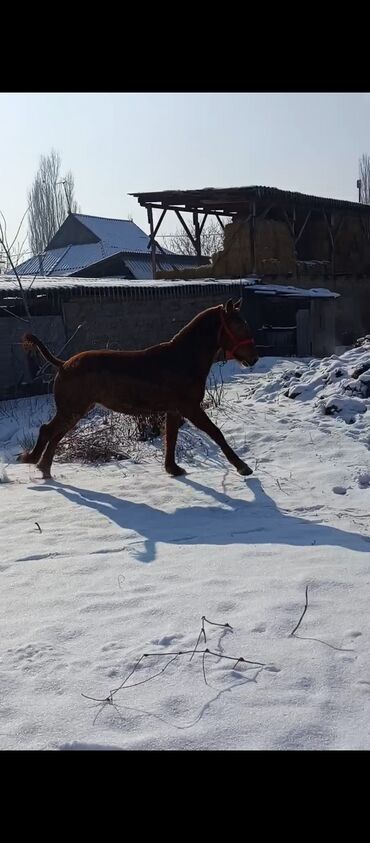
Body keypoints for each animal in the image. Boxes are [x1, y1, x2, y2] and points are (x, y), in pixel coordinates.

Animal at [20, 300, 258, 478]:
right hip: (72, 410)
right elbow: (216, 433)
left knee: (55, 435)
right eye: (238, 326)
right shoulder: (190, 408)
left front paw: (172, 468)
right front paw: (242, 466)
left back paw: (44, 467)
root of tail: (63, 364)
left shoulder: (174, 411)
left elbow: (171, 438)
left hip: (76, 411)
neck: (184, 359)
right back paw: (32, 459)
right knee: (47, 431)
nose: (254, 358)